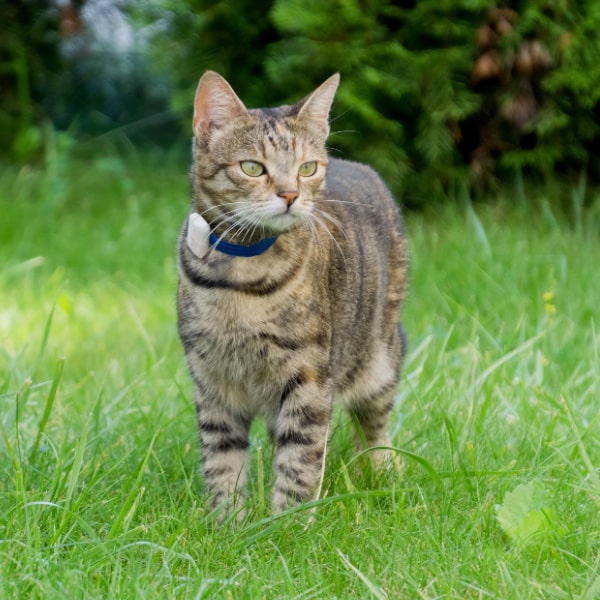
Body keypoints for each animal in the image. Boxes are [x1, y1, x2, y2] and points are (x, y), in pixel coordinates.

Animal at [173, 70, 408, 516]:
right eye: (252, 167)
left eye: (307, 168)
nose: (290, 194)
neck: (241, 279)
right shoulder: (212, 381)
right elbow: (222, 462)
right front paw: (227, 522)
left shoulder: (310, 378)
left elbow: (299, 461)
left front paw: (287, 524)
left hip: (379, 363)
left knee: (373, 429)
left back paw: (383, 474)